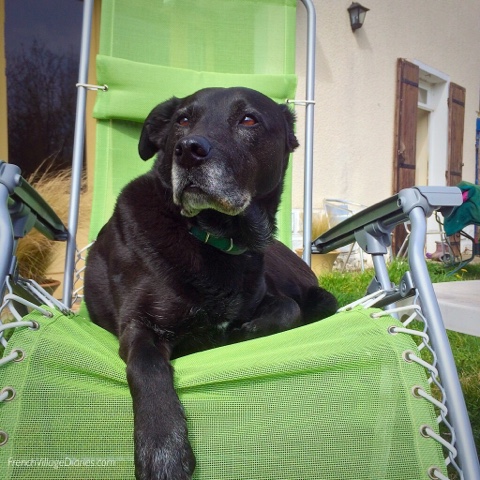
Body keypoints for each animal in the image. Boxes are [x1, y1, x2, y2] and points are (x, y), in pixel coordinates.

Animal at [84, 87, 337, 480]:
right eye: (182, 119)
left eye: (248, 120)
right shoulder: (140, 324)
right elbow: (147, 367)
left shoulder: (267, 296)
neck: (211, 236)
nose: (188, 150)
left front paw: (240, 333)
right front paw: (162, 449)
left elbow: (286, 310)